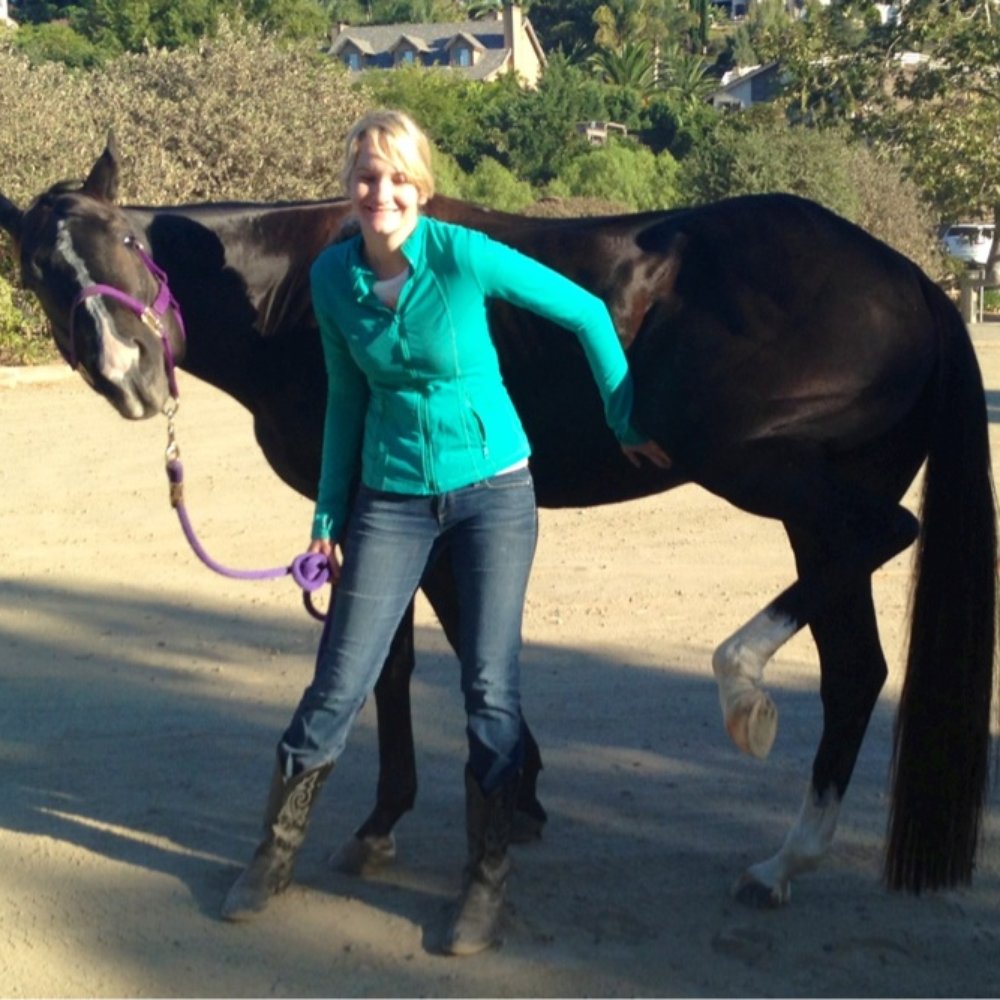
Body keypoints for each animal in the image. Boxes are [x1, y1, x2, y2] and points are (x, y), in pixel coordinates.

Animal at [0, 139, 995, 908]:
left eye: (128, 242)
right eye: (40, 274)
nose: (131, 373)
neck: (287, 290)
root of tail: (909, 279)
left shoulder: (373, 503)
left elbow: (392, 663)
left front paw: (385, 821)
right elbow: (445, 636)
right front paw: (521, 793)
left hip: (757, 467)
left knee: (884, 539)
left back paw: (742, 684)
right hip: (805, 502)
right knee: (856, 670)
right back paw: (785, 862)